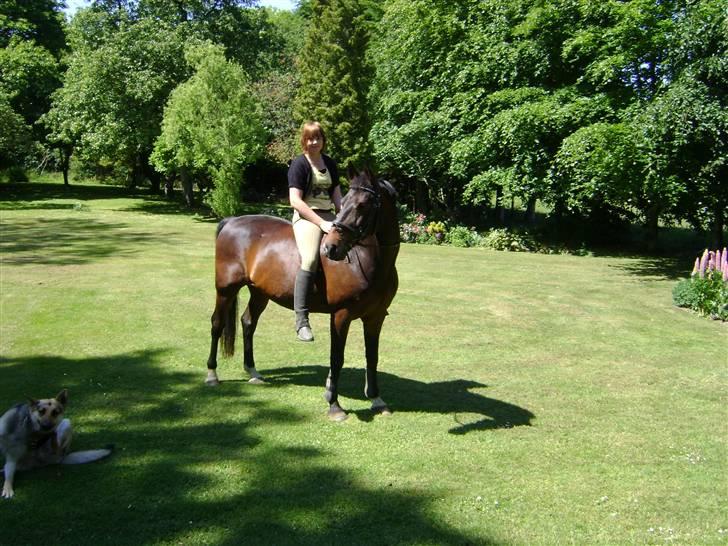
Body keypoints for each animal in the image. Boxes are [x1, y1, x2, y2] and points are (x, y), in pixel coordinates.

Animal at [203, 168, 398, 418]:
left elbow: (372, 356)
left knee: (248, 323)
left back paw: (253, 372)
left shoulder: (375, 317)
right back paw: (212, 374)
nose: (331, 247)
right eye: (344, 202)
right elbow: (337, 358)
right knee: (217, 324)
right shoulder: (341, 315)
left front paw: (376, 399)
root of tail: (231, 221)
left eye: (363, 205)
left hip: (260, 293)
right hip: (226, 289)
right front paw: (334, 404)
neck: (368, 262)